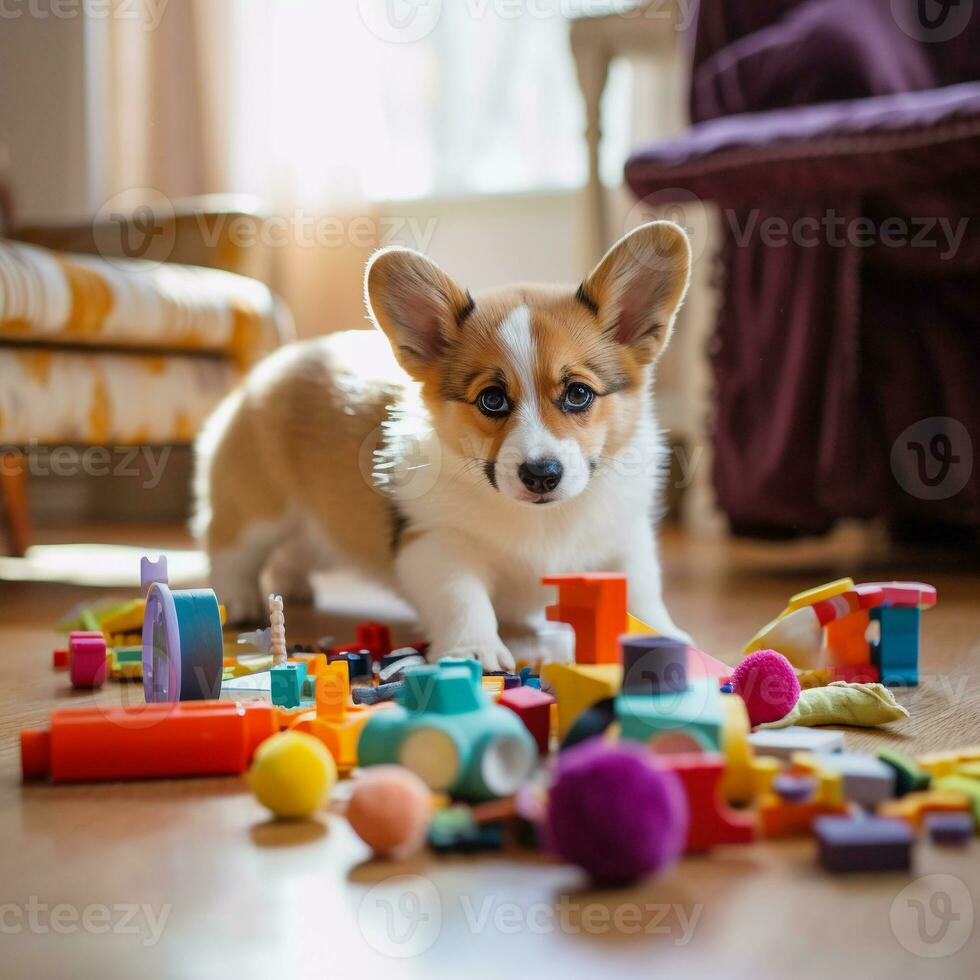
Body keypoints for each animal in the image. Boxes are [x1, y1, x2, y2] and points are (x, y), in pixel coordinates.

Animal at [195, 218, 692, 668]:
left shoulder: (624, 538)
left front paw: (661, 637)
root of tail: (276, 363)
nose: (541, 475)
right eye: (492, 399)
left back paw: (293, 585)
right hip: (258, 508)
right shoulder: (433, 544)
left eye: (579, 394)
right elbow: (462, 598)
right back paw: (239, 601)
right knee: (227, 548)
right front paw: (475, 650)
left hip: (318, 531)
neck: (540, 521)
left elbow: (642, 591)